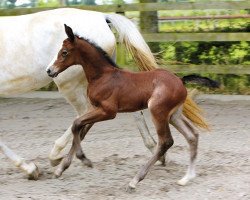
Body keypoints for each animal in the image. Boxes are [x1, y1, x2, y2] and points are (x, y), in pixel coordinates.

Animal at [0, 7, 160, 180]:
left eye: (64, 52)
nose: (49, 70)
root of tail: (102, 16)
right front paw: (30, 168)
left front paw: (30, 169)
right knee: (130, 110)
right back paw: (156, 150)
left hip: (69, 84)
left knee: (83, 115)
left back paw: (57, 156)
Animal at [47, 25, 207, 189]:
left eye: (64, 52)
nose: (50, 71)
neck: (102, 76)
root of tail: (180, 80)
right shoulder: (95, 109)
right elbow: (79, 130)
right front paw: (61, 169)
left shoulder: (108, 111)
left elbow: (76, 124)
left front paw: (84, 159)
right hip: (174, 115)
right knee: (192, 135)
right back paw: (187, 178)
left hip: (158, 112)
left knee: (166, 142)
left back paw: (135, 180)